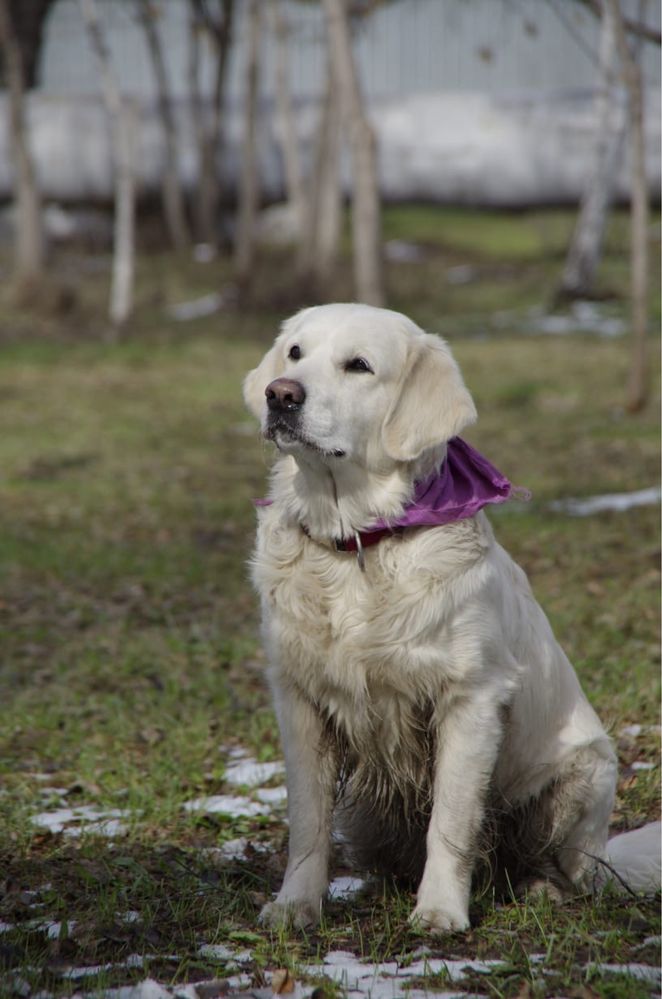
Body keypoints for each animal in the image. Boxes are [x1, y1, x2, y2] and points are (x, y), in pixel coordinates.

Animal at [243, 300, 624, 932]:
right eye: (294, 353)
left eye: (359, 365)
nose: (280, 394)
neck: (359, 543)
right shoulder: (299, 699)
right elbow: (307, 821)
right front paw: (295, 905)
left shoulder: (470, 701)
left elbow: (451, 819)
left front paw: (440, 910)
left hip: (584, 774)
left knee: (567, 872)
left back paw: (542, 889)